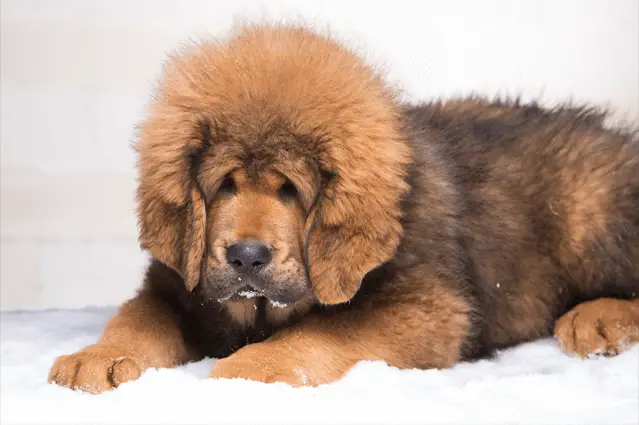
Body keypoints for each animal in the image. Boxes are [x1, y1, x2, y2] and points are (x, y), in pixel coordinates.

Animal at [46, 24, 639, 394]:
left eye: (290, 189)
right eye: (223, 186)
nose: (245, 257)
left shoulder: (426, 306)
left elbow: (320, 333)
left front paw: (249, 368)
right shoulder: (178, 288)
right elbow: (137, 318)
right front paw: (96, 356)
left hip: (588, 213)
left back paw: (597, 320)